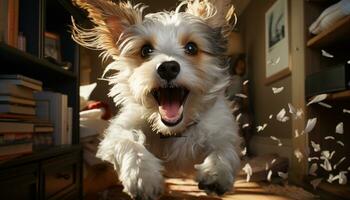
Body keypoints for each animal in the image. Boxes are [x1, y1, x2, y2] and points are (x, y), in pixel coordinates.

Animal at [71, 0, 241, 199]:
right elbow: (127, 142)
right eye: (145, 50)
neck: (173, 131)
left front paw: (216, 171)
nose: (168, 68)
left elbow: (224, 147)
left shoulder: (221, 129)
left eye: (191, 48)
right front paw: (142, 175)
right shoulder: (117, 132)